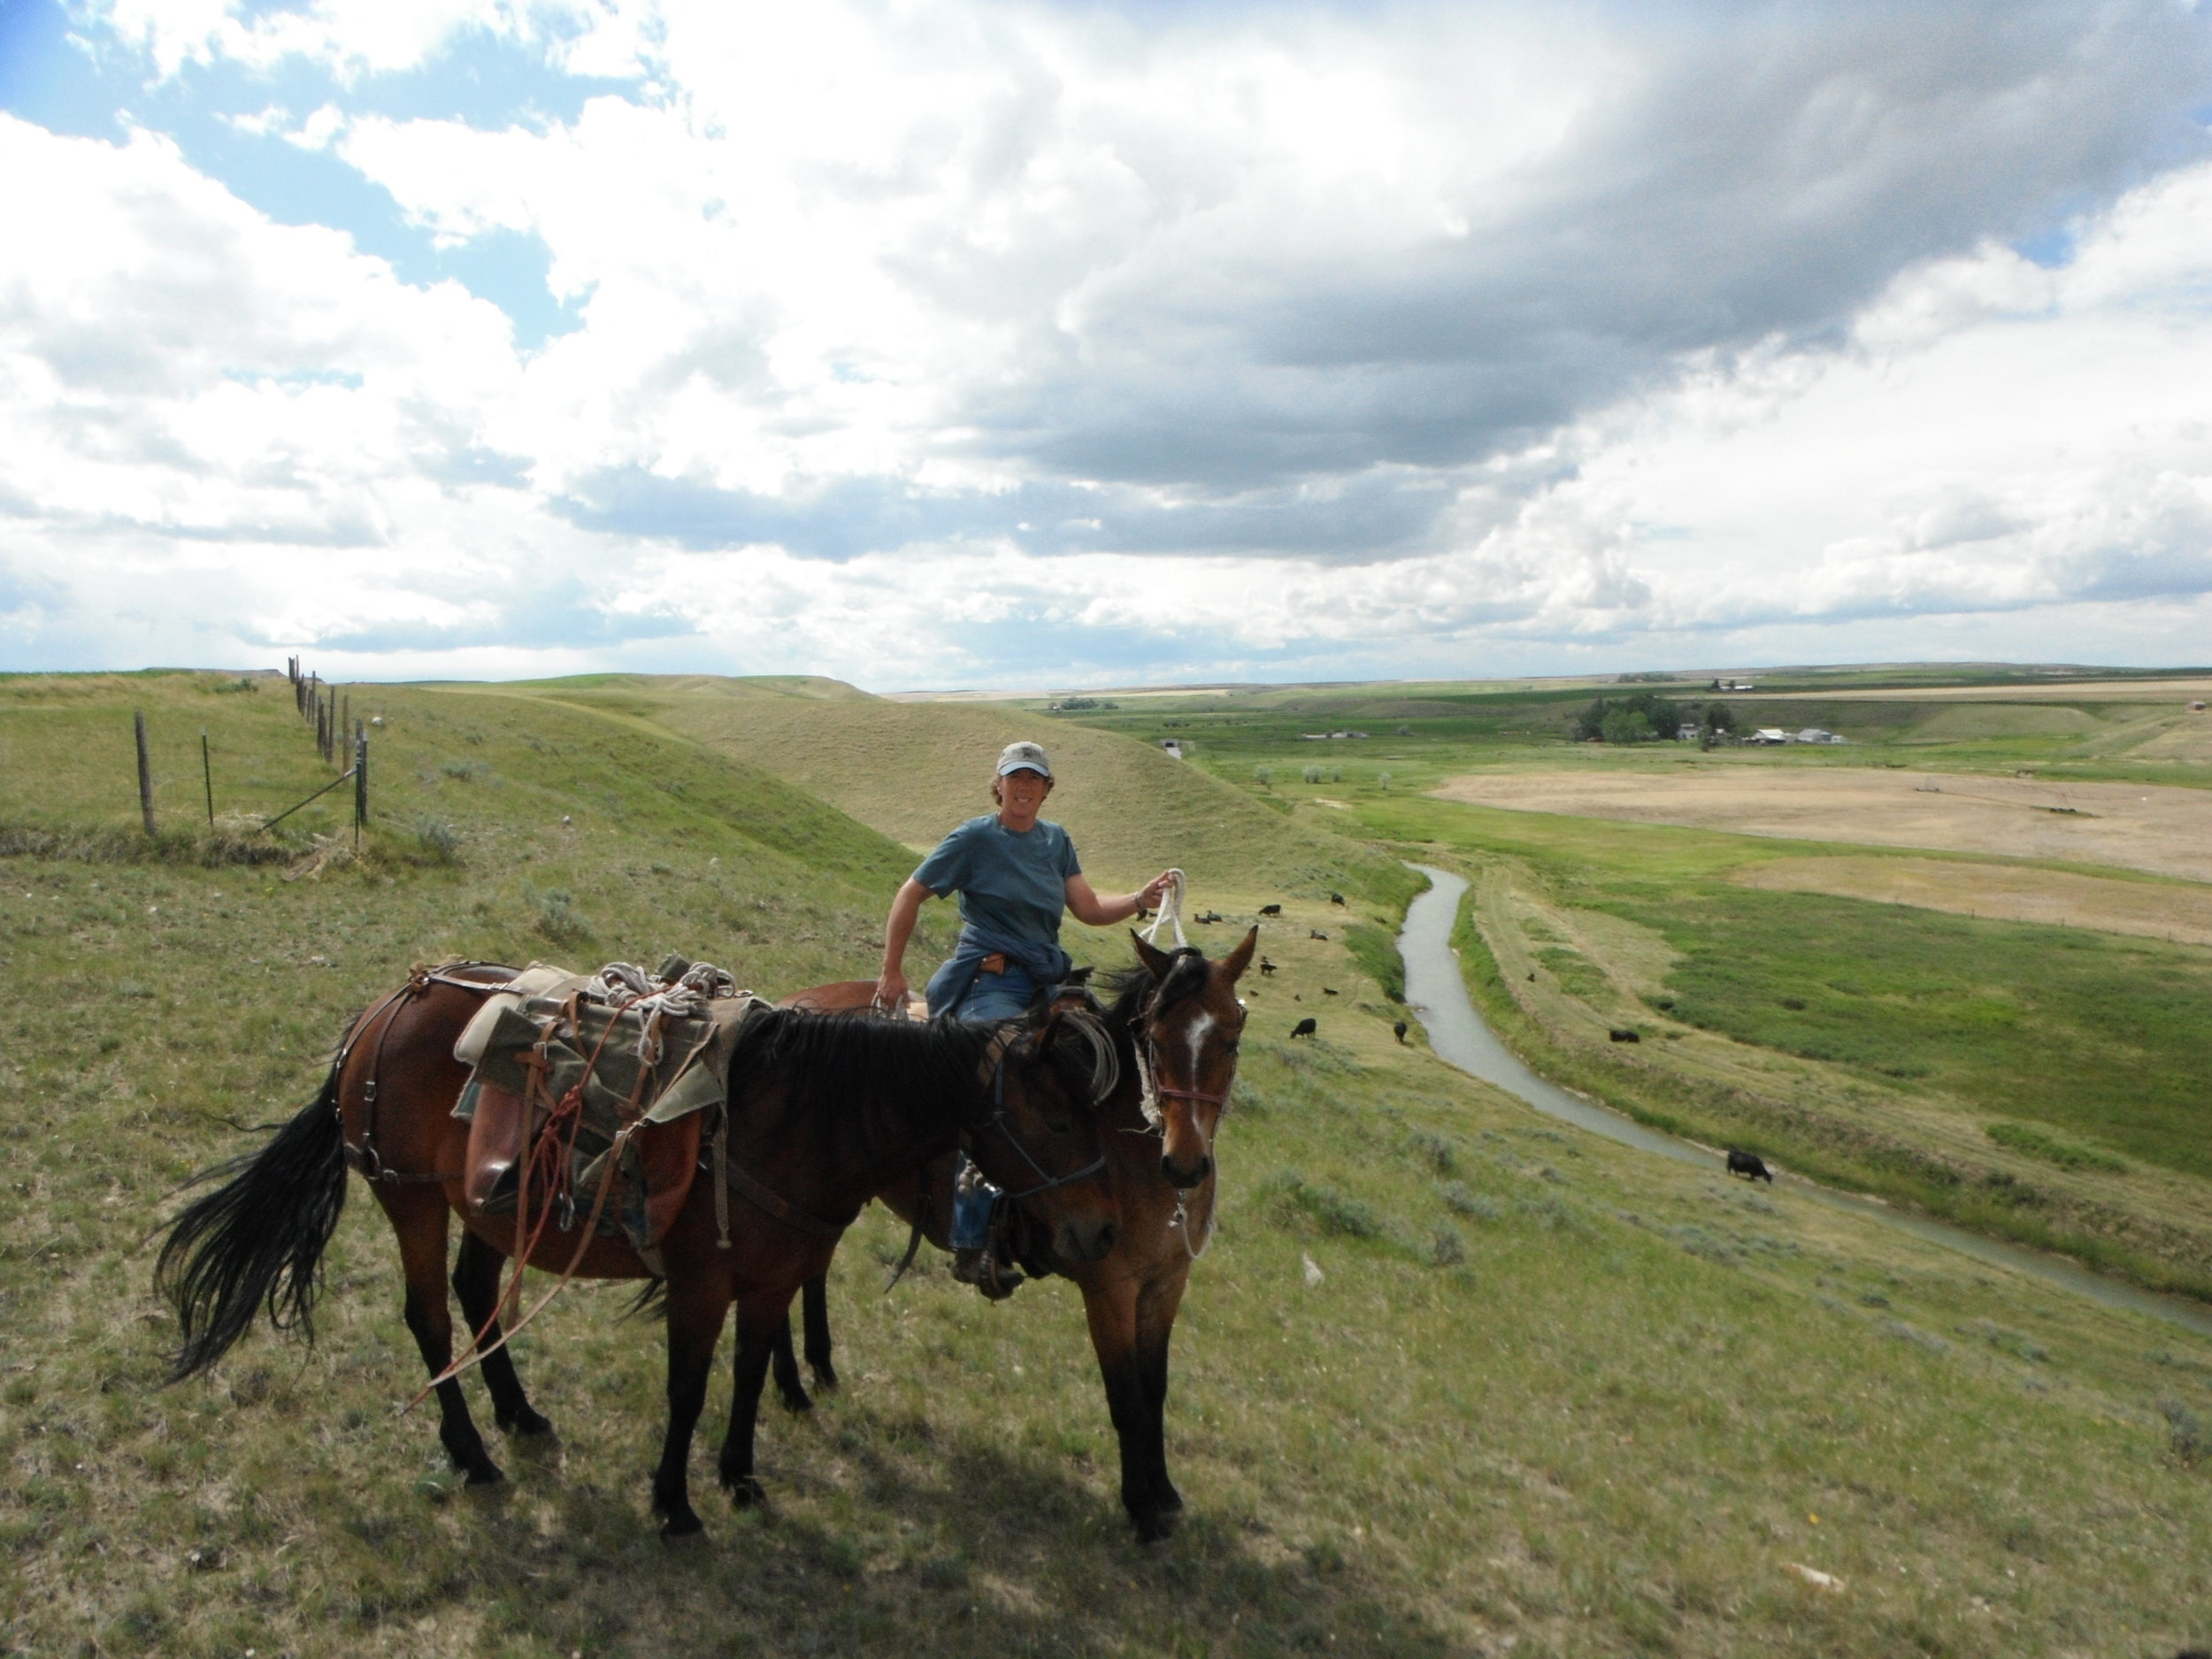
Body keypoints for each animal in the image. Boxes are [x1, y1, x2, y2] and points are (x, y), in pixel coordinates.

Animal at [160, 969, 1124, 1540]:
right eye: (1056, 1116)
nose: (1102, 1234)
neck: (793, 1118)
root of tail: (380, 1010)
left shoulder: (771, 1279)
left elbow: (747, 1376)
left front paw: (739, 1476)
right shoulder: (701, 1283)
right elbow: (688, 1389)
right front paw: (673, 1502)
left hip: (487, 1205)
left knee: (478, 1294)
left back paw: (520, 1414)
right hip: (412, 1198)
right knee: (430, 1317)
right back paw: (473, 1456)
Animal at [783, 938, 1265, 1548]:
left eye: (1230, 1038)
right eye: (1155, 1040)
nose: (1185, 1163)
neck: (1123, 1146)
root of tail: (791, 1002)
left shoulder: (1166, 1284)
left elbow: (1154, 1390)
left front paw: (1164, 1493)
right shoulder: (1110, 1290)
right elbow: (1127, 1399)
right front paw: (1141, 1509)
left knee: (812, 1270)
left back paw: (822, 1368)